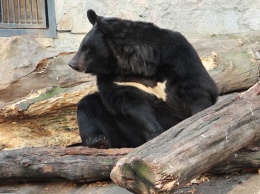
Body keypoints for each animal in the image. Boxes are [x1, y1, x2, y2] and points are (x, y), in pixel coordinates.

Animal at [68, 9, 217, 149]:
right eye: (81, 47)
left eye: (87, 49)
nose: (72, 63)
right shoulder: (118, 81)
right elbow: (133, 107)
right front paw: (156, 134)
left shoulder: (177, 55)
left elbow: (195, 85)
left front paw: (199, 116)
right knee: (88, 106)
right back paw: (98, 140)